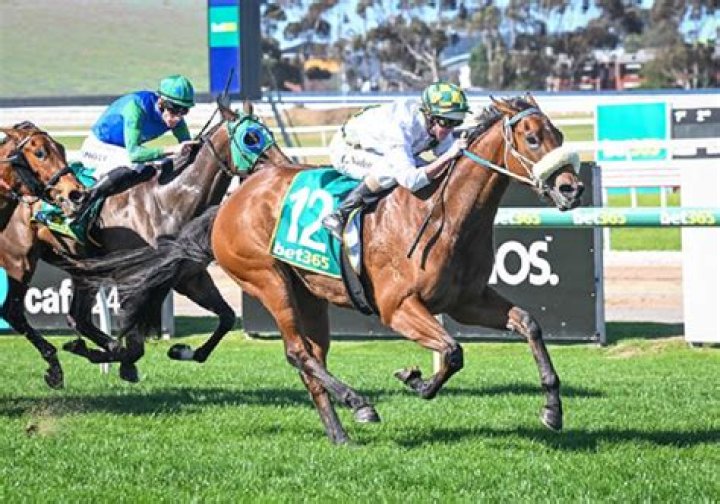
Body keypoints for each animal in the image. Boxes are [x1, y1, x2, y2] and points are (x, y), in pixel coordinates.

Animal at [0, 101, 289, 388]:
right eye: (251, 137)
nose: (284, 167)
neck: (169, 200)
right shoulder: (134, 279)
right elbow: (135, 343)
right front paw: (113, 357)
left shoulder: (189, 277)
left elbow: (227, 317)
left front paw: (180, 351)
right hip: (19, 259)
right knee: (13, 310)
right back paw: (56, 365)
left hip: (82, 270)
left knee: (78, 318)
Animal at [65, 95, 584, 443]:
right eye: (532, 137)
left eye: (558, 135)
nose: (571, 188)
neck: (443, 213)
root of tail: (234, 199)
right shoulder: (399, 307)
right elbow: (453, 352)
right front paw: (415, 379)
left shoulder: (468, 301)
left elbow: (528, 324)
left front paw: (553, 410)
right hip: (267, 280)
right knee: (298, 352)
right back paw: (360, 405)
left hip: (309, 295)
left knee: (311, 358)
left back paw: (339, 431)